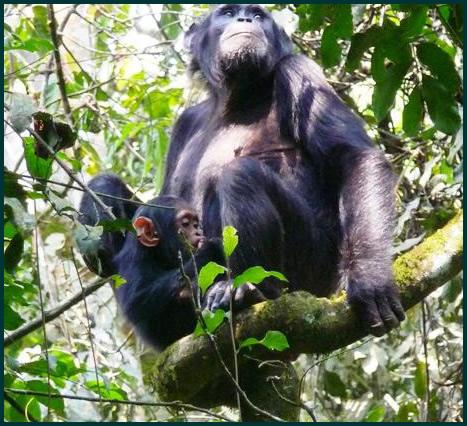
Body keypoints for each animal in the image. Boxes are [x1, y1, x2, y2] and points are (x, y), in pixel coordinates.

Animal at [78, 173, 227, 350]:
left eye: (196, 223)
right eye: (186, 224)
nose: (198, 232)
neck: (157, 254)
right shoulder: (133, 262)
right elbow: (138, 301)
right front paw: (212, 248)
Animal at [161, 4, 406, 336]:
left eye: (257, 15)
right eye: (228, 13)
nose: (245, 19)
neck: (236, 95)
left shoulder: (299, 71)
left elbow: (352, 157)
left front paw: (371, 278)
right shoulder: (184, 124)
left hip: (313, 269)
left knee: (241, 176)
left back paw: (249, 289)